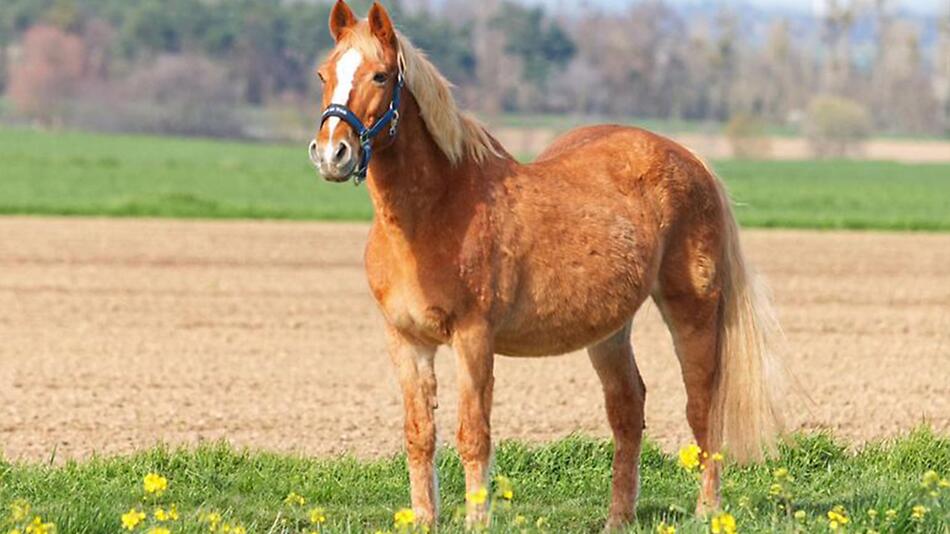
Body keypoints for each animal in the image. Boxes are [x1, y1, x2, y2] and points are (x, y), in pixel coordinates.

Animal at [306, 1, 788, 532]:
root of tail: (692, 159)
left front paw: (479, 520)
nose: (331, 154)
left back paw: (707, 512)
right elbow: (419, 435)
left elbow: (473, 436)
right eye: (324, 74)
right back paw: (617, 518)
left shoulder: (474, 338)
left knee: (701, 407)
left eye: (380, 75)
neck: (432, 214)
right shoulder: (406, 342)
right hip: (610, 331)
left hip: (692, 312)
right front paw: (425, 518)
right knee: (628, 409)